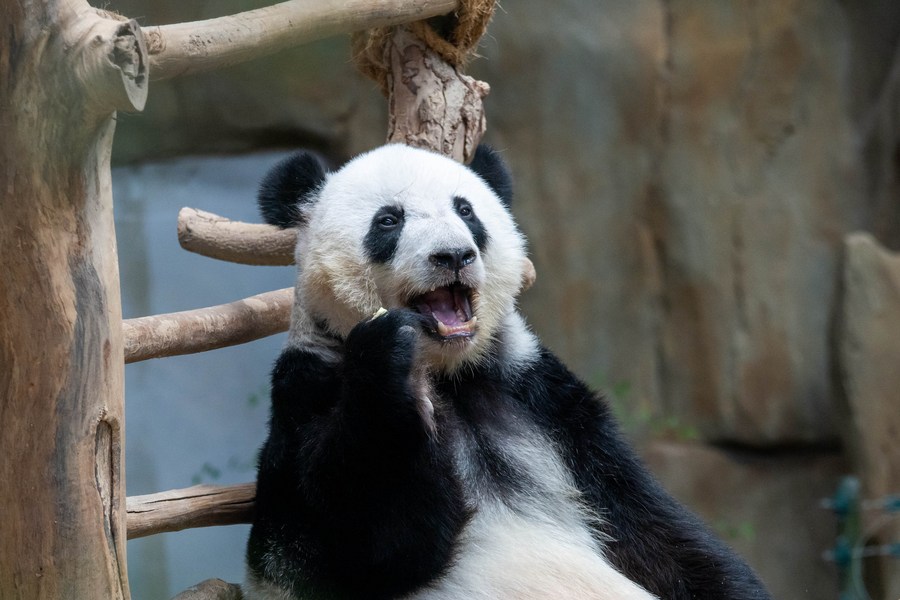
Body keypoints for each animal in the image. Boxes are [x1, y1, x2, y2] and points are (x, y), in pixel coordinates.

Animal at [246, 142, 772, 600]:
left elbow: (654, 531)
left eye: (466, 211)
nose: (453, 255)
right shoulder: (309, 385)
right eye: (389, 220)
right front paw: (390, 359)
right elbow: (357, 541)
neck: (448, 374)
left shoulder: (542, 400)